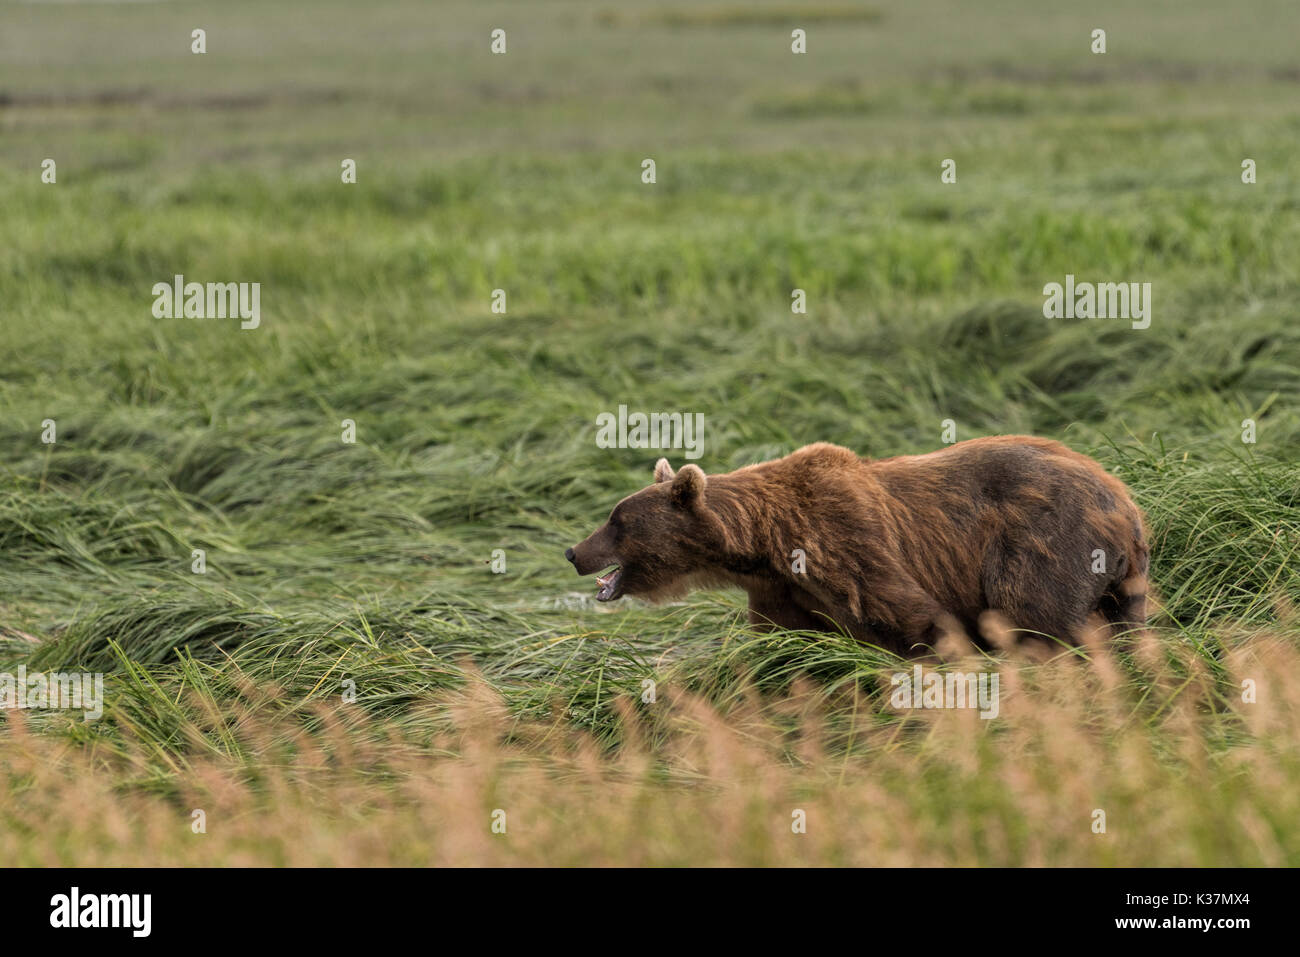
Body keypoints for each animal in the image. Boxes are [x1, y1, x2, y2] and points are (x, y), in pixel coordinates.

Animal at [564, 436, 1154, 655]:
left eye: (617, 521)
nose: (574, 551)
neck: (762, 546)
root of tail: (1125, 501)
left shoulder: (844, 543)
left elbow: (915, 617)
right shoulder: (783, 590)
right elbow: (782, 651)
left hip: (1043, 541)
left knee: (1035, 615)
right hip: (1120, 575)